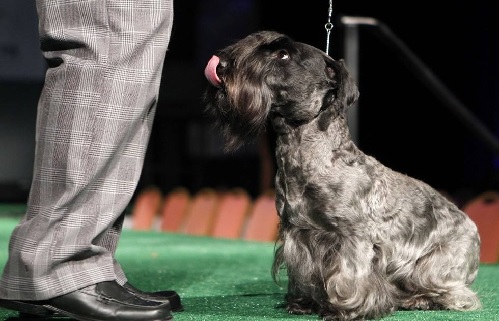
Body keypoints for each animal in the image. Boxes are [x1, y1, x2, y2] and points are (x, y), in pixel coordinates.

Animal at [201, 30, 482, 320]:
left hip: (433, 268)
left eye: (283, 55)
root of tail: (473, 228)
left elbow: (348, 276)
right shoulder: (296, 234)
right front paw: (302, 303)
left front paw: (347, 309)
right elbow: (303, 273)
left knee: (458, 295)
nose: (221, 64)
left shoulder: (353, 237)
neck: (311, 155)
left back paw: (421, 299)